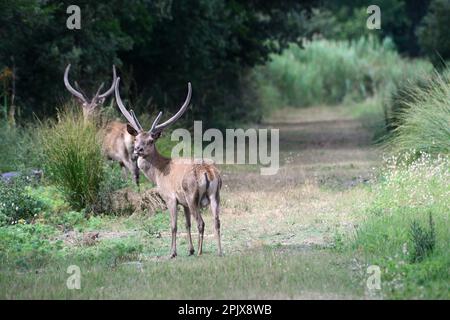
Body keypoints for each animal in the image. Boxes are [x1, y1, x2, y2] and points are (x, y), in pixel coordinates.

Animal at [114, 79, 223, 258]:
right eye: (136, 138)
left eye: (151, 140)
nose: (138, 149)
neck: (159, 173)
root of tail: (208, 172)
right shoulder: (183, 202)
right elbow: (187, 224)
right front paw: (190, 250)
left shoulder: (170, 197)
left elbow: (173, 226)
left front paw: (172, 253)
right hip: (215, 195)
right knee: (217, 221)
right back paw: (219, 251)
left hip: (192, 195)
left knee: (201, 222)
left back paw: (201, 252)